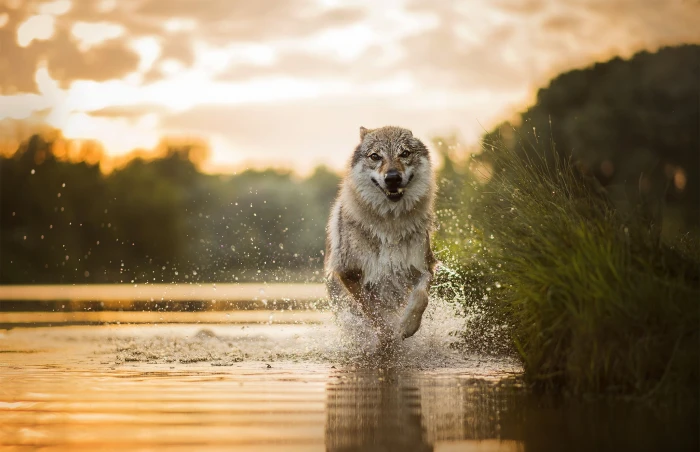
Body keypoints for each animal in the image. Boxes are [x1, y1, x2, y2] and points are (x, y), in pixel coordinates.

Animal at [324, 126, 436, 345]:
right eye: (375, 156)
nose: (392, 177)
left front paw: (407, 327)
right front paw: (387, 336)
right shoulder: (350, 273)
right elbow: (372, 310)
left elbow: (421, 297)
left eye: (404, 153)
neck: (390, 226)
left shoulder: (424, 266)